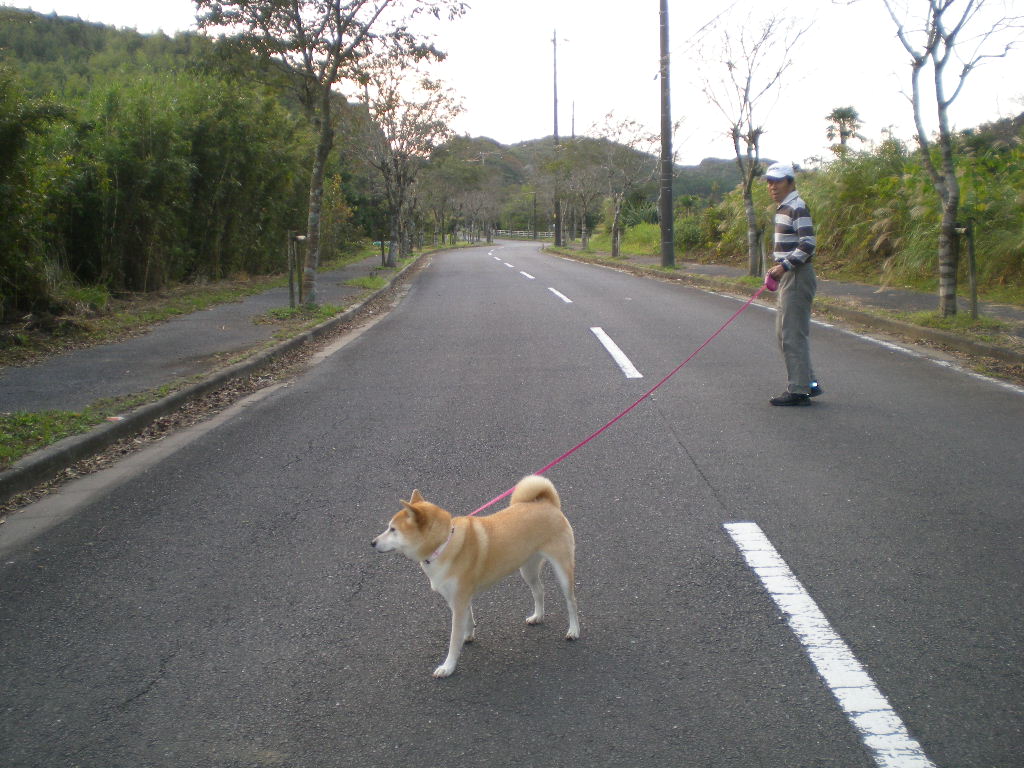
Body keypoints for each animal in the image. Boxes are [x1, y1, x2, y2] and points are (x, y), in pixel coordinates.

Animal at [372, 475, 581, 679]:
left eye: (392, 529)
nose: (372, 542)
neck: (444, 544)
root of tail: (548, 504)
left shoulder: (458, 600)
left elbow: (453, 639)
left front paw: (448, 666)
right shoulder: (459, 598)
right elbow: (469, 618)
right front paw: (468, 635)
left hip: (562, 569)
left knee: (571, 601)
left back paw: (573, 630)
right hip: (527, 569)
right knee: (539, 591)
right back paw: (538, 616)